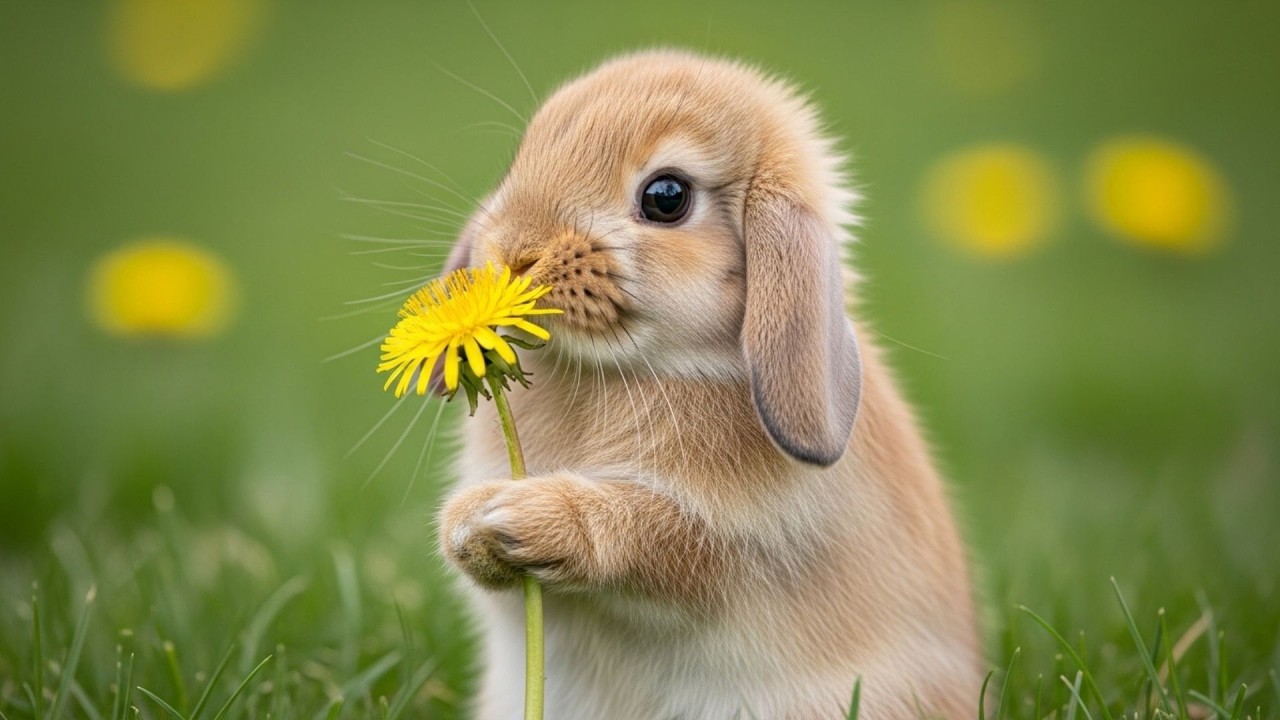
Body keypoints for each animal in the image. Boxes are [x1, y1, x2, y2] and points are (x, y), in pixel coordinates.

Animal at [433, 50, 982, 719]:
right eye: (523, 154)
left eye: (667, 197)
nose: (514, 253)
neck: (630, 367)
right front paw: (463, 528)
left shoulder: (727, 545)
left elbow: (644, 537)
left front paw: (511, 515)